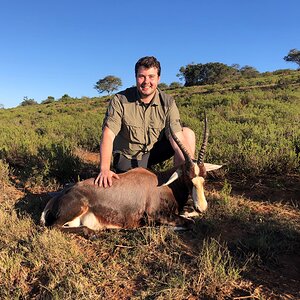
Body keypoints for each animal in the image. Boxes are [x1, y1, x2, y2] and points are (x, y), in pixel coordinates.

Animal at [40, 116, 220, 236]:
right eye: (188, 178)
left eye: (204, 177)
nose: (202, 207)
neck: (163, 183)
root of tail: (56, 198)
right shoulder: (154, 215)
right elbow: (189, 223)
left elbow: (188, 216)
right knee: (54, 228)